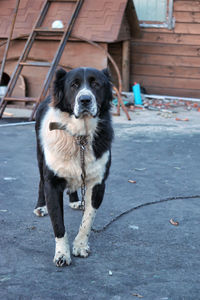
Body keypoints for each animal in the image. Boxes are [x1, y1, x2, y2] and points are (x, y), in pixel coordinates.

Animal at [33, 67, 113, 266]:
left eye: (96, 84)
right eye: (74, 85)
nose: (85, 100)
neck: (80, 138)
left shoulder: (98, 184)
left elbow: (88, 220)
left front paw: (80, 246)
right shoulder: (52, 184)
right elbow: (58, 224)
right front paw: (62, 254)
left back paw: (75, 200)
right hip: (40, 155)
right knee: (40, 180)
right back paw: (40, 206)